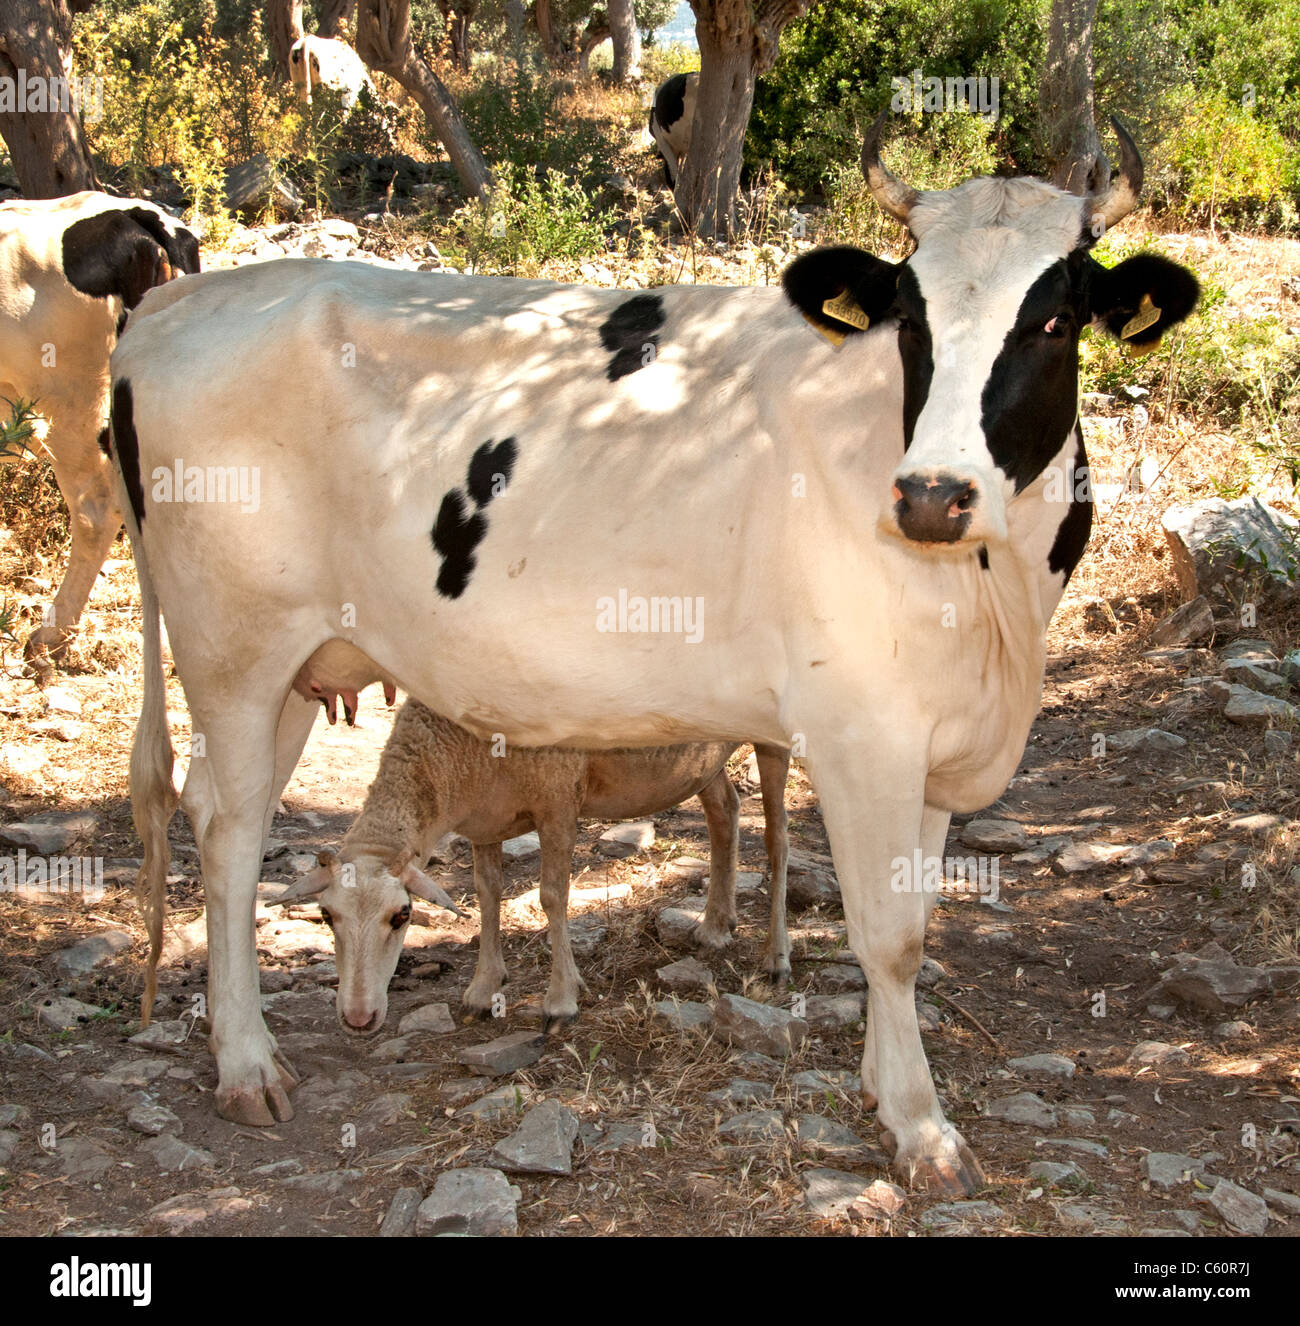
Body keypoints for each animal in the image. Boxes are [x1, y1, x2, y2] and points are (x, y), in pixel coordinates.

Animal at [271, 694, 790, 1034]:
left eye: (401, 916)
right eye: (326, 916)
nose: (358, 1019)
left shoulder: (558, 798)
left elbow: (552, 896)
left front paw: (561, 1000)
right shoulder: (485, 822)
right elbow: (487, 894)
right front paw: (483, 990)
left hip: (779, 735)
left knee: (778, 838)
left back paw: (777, 957)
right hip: (705, 759)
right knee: (724, 810)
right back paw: (715, 925)